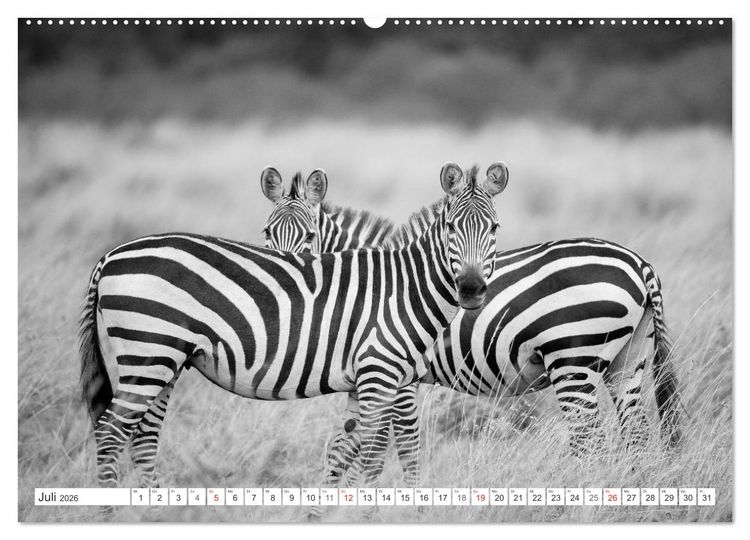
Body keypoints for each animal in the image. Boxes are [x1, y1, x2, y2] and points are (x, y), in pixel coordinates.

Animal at [79, 162, 509, 490]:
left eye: (494, 229)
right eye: (451, 228)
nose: (471, 289)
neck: (405, 287)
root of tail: (111, 255)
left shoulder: (369, 382)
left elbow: (344, 450)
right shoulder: (382, 376)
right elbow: (379, 454)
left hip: (160, 362)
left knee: (143, 438)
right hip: (148, 354)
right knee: (111, 433)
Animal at [260, 168, 682, 515]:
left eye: (310, 236)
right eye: (267, 234)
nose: (283, 281)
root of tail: (639, 263)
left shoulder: (397, 378)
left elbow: (388, 448)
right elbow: (345, 448)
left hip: (573, 361)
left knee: (589, 441)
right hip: (627, 361)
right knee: (636, 434)